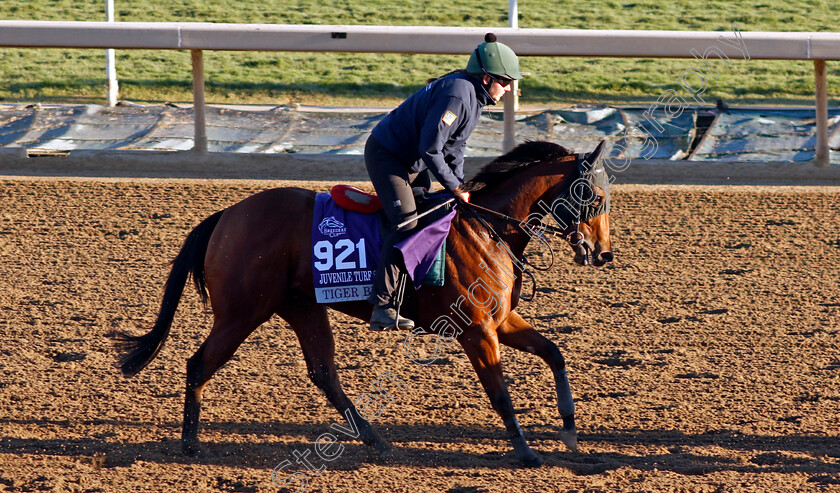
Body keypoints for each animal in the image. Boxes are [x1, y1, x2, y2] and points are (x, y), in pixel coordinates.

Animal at [115, 137, 612, 466]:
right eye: (594, 195)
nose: (603, 253)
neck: (486, 229)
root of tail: (227, 215)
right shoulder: (475, 331)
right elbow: (500, 392)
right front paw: (526, 451)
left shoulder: (501, 322)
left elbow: (554, 353)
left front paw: (570, 431)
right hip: (241, 313)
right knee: (199, 364)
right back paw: (190, 443)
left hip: (302, 307)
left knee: (323, 372)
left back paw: (373, 438)